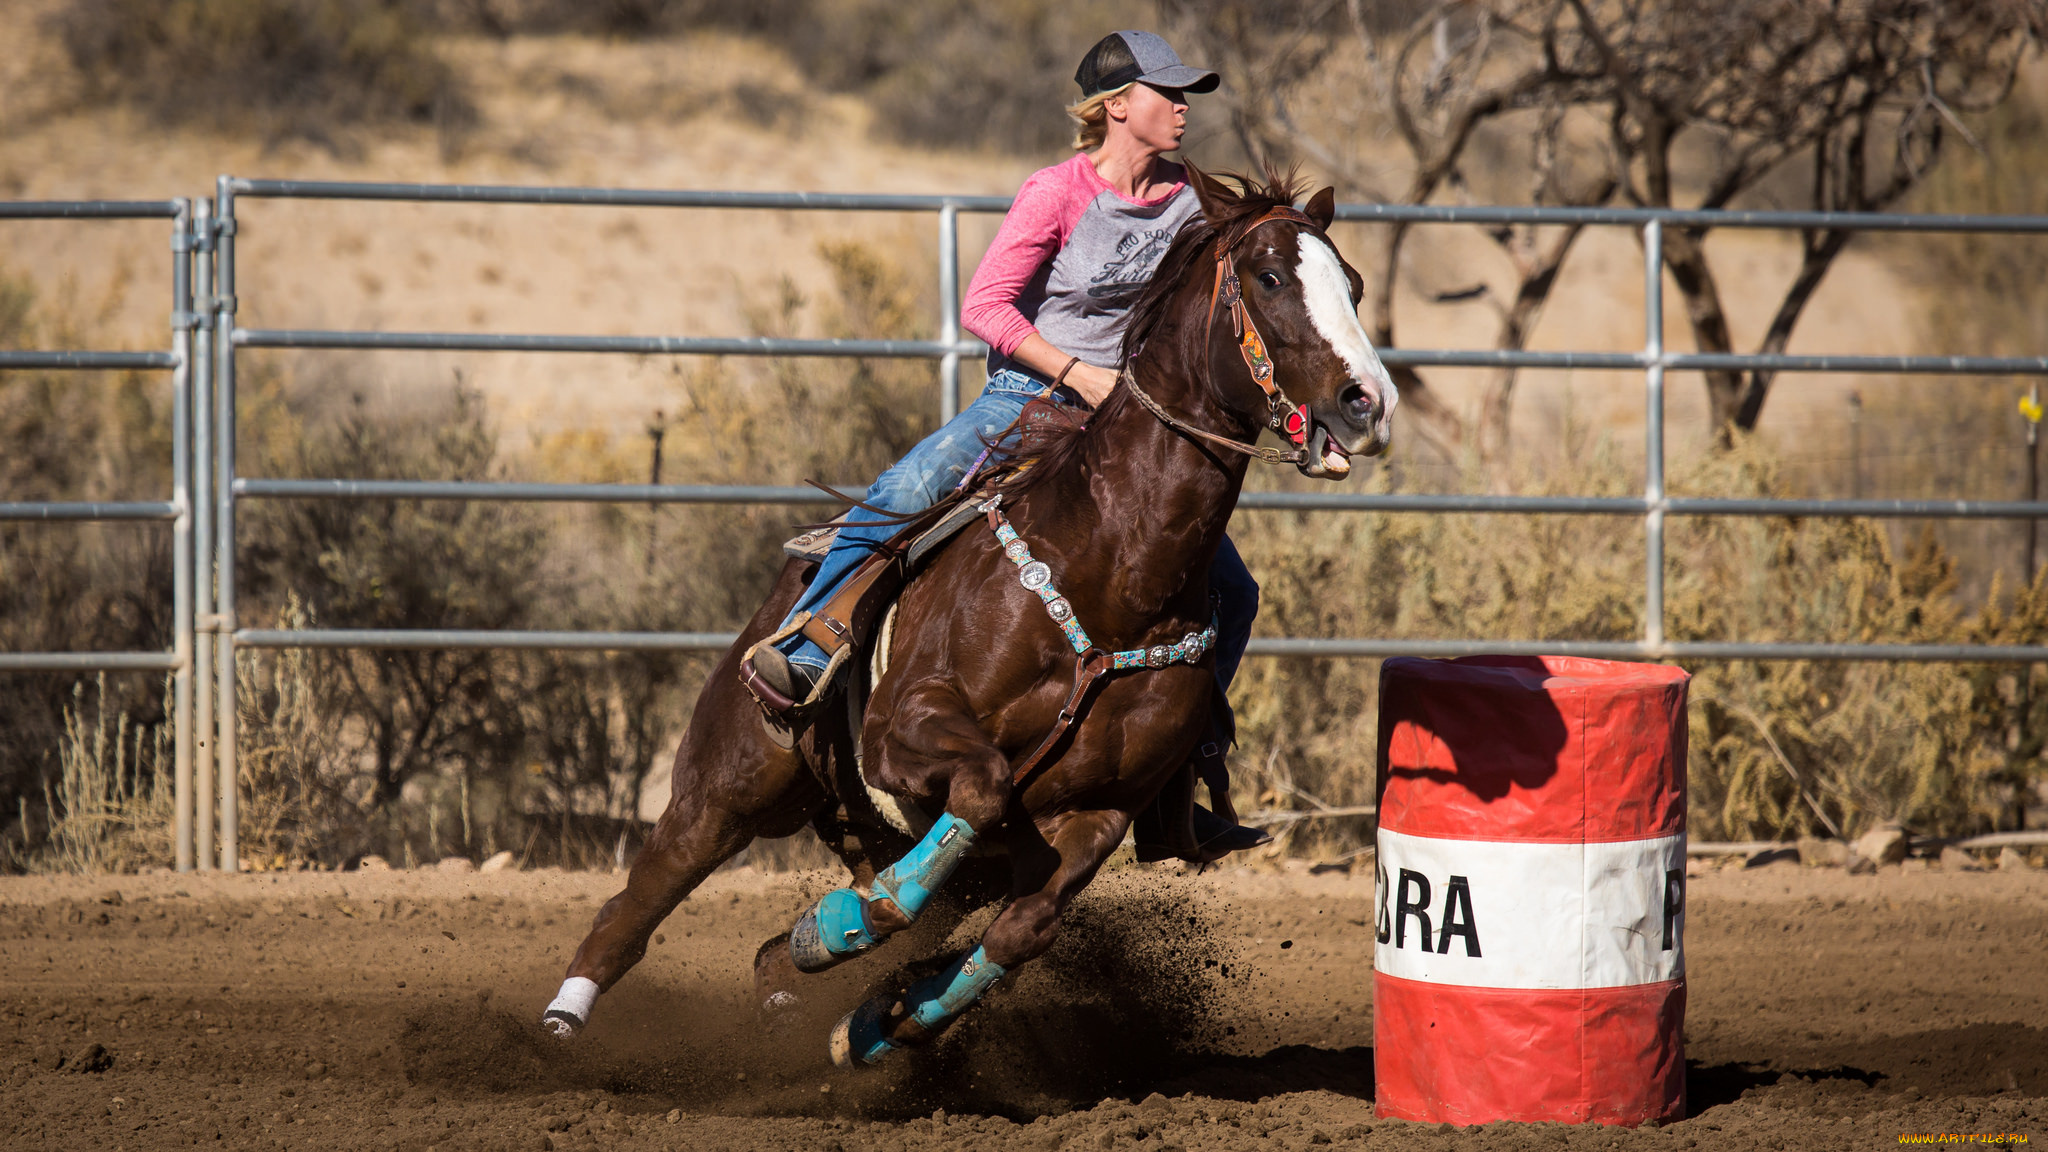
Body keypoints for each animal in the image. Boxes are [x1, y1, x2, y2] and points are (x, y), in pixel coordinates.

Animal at [544, 170, 1392, 1065]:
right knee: (637, 903)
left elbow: (1022, 932)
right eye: (1270, 278)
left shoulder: (1095, 816)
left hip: (902, 841)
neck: (1110, 570)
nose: (1368, 402)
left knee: (778, 947)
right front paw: (842, 932)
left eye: (1353, 285)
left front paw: (879, 1019)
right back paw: (565, 1021)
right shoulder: (906, 725)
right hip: (731, 784)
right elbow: (979, 791)